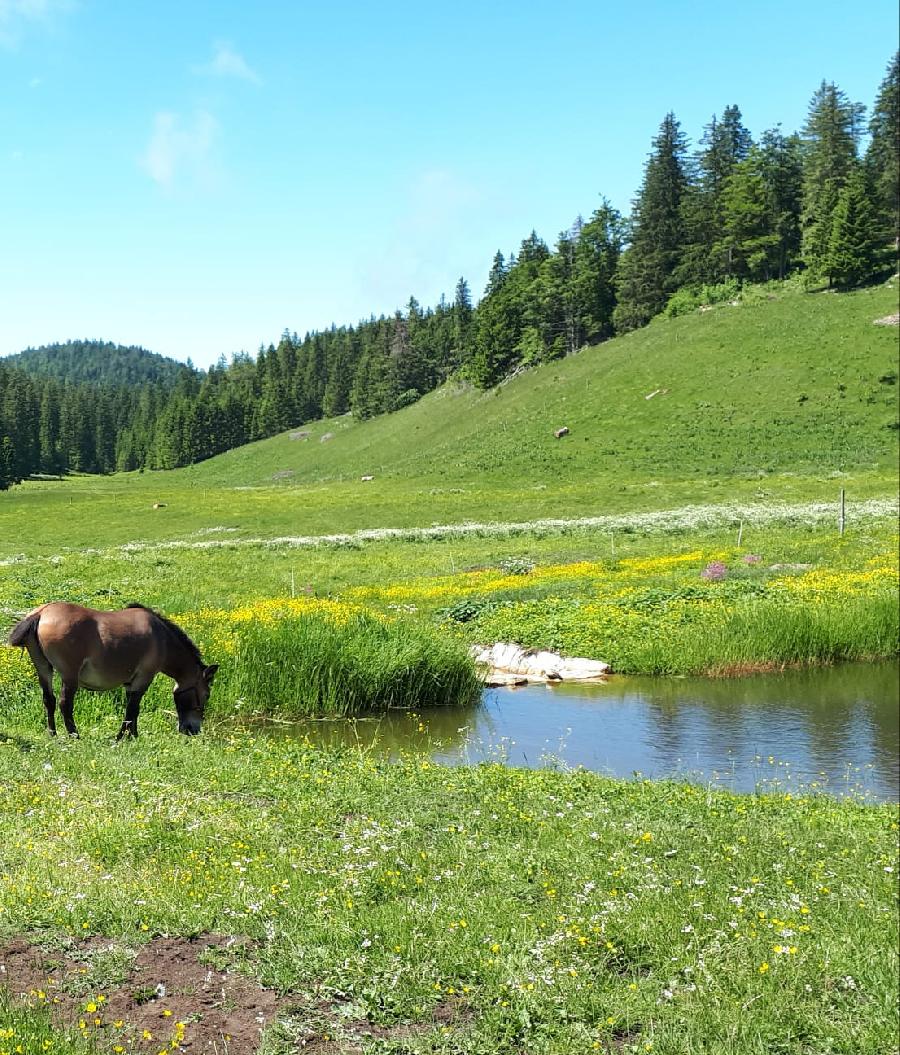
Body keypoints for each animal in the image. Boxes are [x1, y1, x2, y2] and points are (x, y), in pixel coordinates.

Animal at [7, 603, 217, 742]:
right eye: (206, 695)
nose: (193, 730)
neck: (162, 638)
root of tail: (42, 613)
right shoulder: (143, 678)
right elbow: (133, 709)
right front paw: (124, 736)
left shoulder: (131, 683)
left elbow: (131, 708)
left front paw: (132, 734)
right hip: (69, 676)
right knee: (65, 704)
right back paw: (74, 735)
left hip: (43, 669)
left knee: (48, 701)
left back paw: (52, 733)